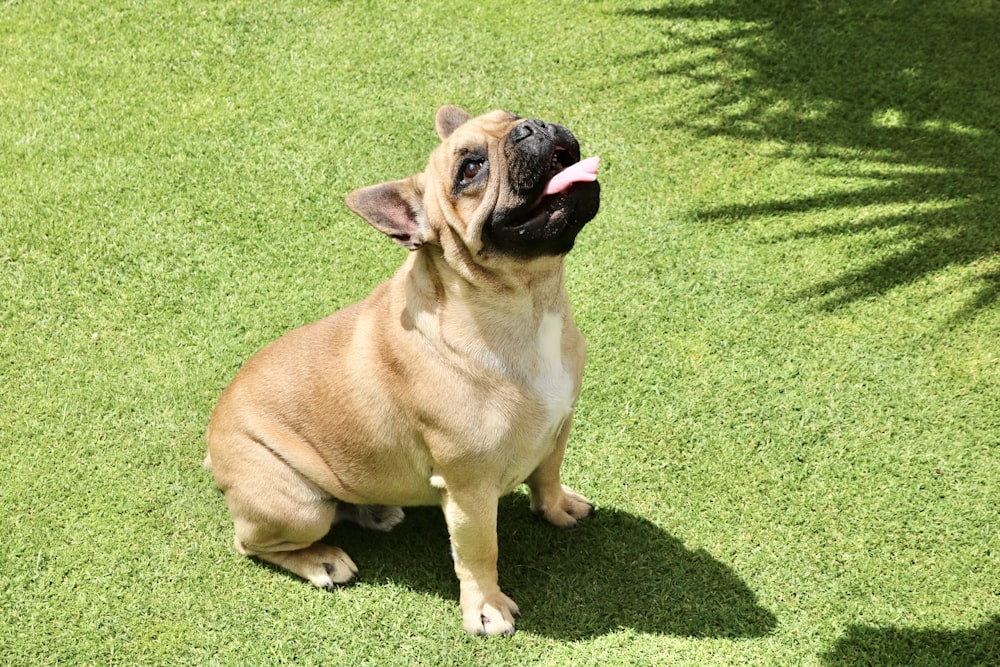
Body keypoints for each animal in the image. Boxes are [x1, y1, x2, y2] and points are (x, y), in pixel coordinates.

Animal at [205, 105, 600, 636]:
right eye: (469, 169)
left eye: (513, 114)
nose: (531, 127)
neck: (529, 300)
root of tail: (212, 444)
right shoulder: (469, 490)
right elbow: (480, 553)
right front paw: (485, 607)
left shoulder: (559, 426)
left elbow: (548, 475)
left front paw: (557, 508)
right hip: (297, 506)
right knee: (251, 543)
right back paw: (320, 559)